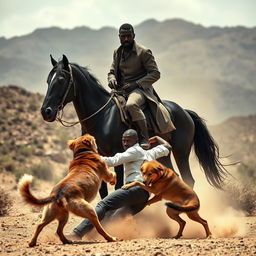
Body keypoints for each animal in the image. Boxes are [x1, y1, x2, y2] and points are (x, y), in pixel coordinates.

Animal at [41, 54, 227, 198]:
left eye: (61, 80)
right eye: (48, 80)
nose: (46, 112)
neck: (103, 117)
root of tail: (185, 112)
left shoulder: (117, 154)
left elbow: (117, 186)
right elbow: (102, 191)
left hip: (181, 152)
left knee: (188, 179)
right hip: (164, 154)